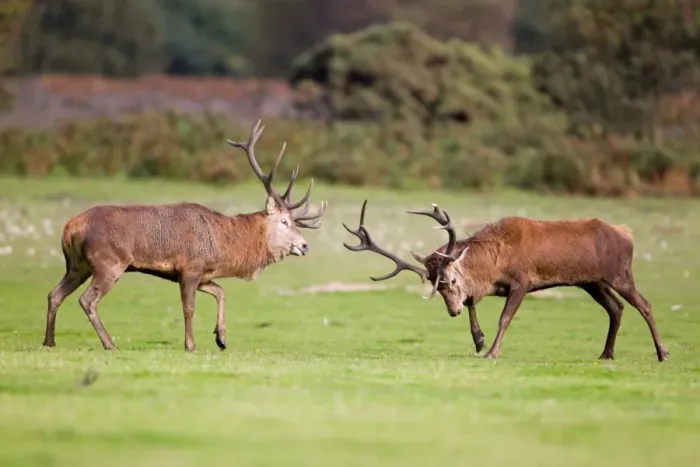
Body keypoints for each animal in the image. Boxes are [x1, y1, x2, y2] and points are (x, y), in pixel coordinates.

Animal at [43, 119, 326, 352]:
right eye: (284, 221)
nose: (305, 245)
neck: (223, 245)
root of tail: (71, 226)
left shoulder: (202, 273)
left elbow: (222, 292)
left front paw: (221, 338)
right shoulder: (190, 268)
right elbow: (189, 308)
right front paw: (191, 345)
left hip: (77, 265)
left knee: (54, 293)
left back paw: (49, 341)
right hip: (108, 263)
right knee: (87, 300)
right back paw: (109, 344)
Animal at [343, 200, 670, 362]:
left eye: (450, 279)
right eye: (436, 284)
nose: (452, 311)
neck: (495, 262)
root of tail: (626, 233)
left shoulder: (522, 281)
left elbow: (505, 318)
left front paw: (492, 352)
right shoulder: (492, 287)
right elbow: (473, 301)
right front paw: (478, 339)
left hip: (619, 273)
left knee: (645, 304)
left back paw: (662, 353)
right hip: (592, 282)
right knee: (616, 308)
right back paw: (607, 354)